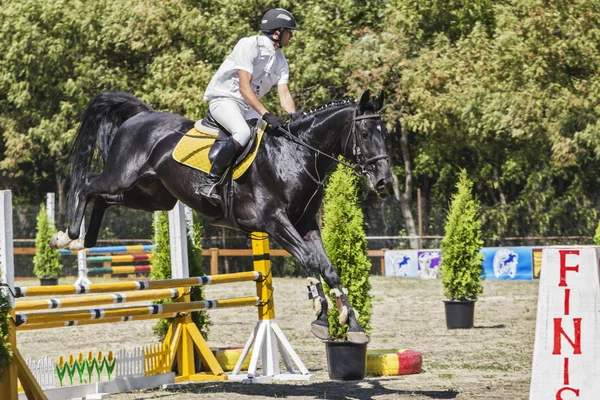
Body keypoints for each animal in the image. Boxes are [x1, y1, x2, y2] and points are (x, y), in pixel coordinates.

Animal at [50, 89, 390, 342]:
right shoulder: (273, 222)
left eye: (384, 132)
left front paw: (349, 324)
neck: (295, 155)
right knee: (88, 184)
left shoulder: (305, 225)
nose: (383, 181)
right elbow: (311, 260)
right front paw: (324, 317)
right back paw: (66, 236)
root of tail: (142, 114)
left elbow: (325, 266)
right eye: (364, 132)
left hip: (150, 196)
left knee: (103, 198)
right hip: (122, 177)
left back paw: (84, 241)